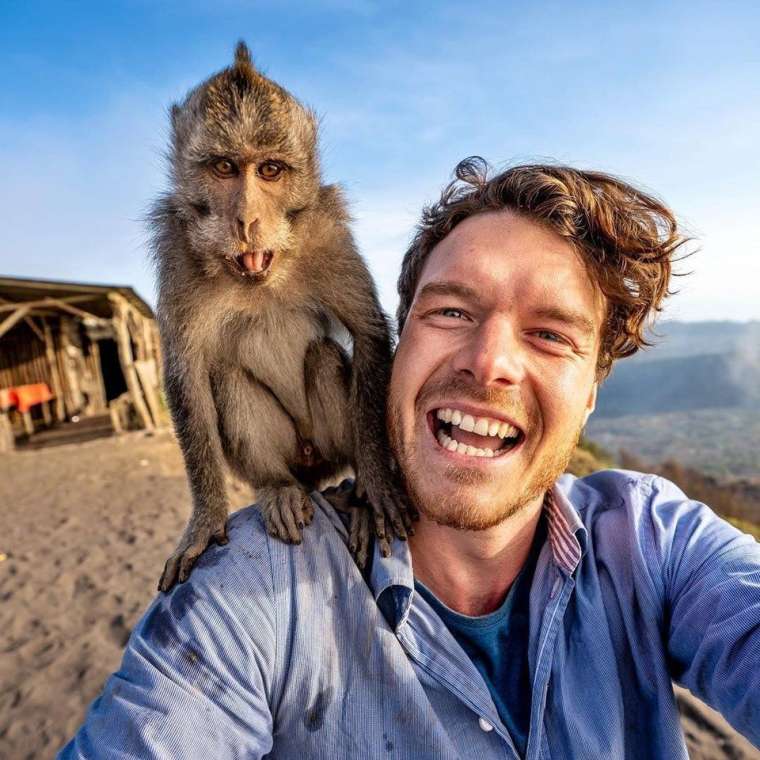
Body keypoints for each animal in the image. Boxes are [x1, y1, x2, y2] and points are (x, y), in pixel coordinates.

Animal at [152, 43, 416, 592]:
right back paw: (277, 489)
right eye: (225, 167)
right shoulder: (178, 251)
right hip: (289, 457)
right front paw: (204, 520)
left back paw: (356, 496)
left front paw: (377, 483)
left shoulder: (328, 233)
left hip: (327, 444)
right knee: (227, 378)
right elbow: (187, 374)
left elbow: (367, 331)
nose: (247, 221)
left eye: (271, 170)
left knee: (323, 358)